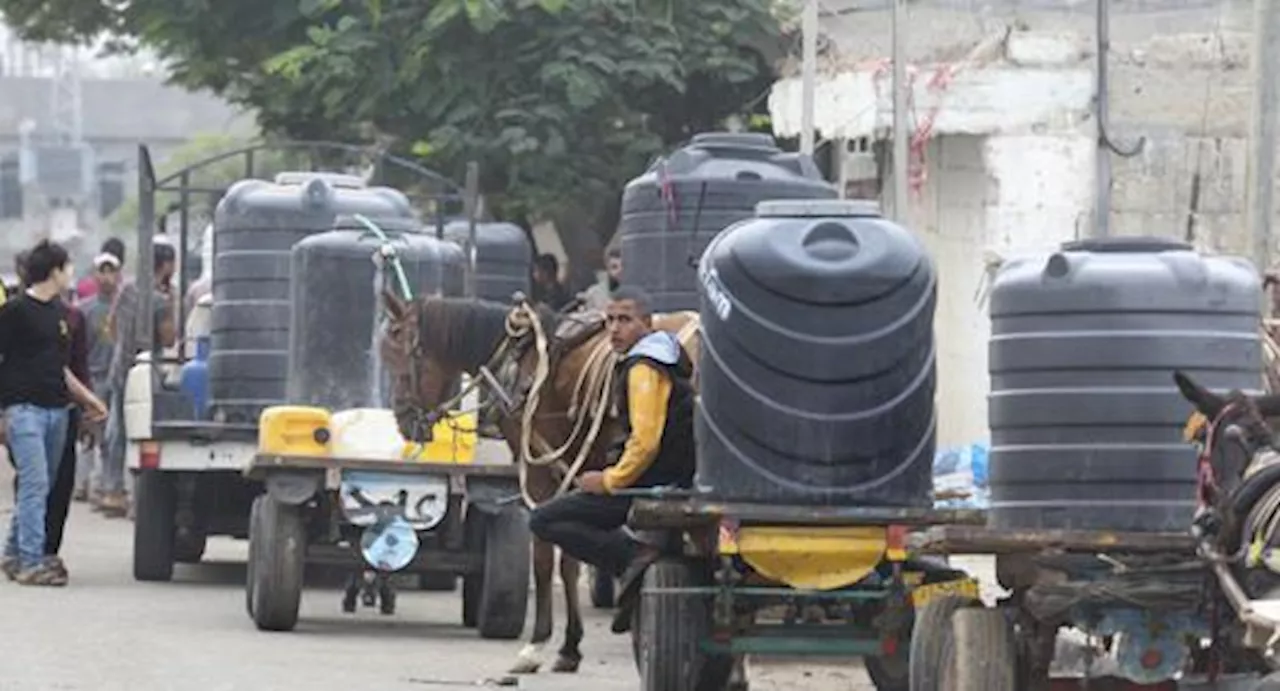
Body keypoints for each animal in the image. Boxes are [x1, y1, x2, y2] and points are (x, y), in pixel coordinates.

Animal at [376, 290, 701, 675]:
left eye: (396, 348)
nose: (403, 419)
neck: (522, 360)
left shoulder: (539, 473)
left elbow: (546, 556)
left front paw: (537, 643)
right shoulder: (571, 472)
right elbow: (570, 560)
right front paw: (570, 646)